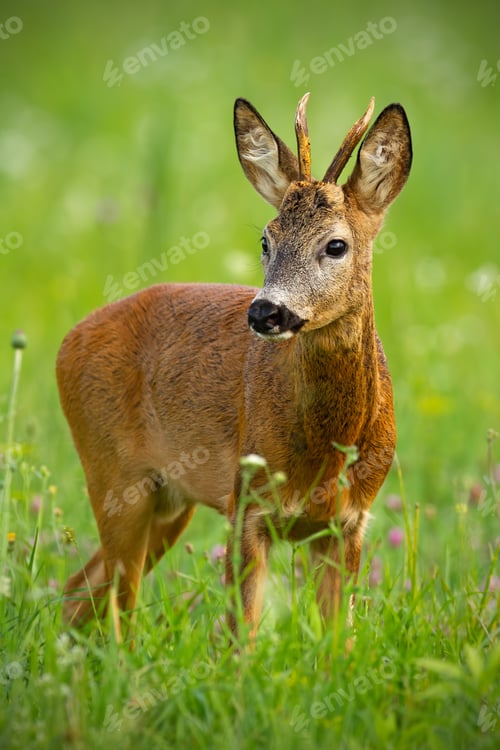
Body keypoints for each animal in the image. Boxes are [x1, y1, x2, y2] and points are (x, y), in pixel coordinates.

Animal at [58, 93, 412, 645]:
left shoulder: (350, 520)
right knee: (116, 604)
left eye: (336, 245)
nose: (265, 311)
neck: (326, 451)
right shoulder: (246, 504)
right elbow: (240, 634)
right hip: (114, 476)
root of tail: (67, 342)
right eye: (266, 240)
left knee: (80, 591)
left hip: (168, 500)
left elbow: (339, 641)